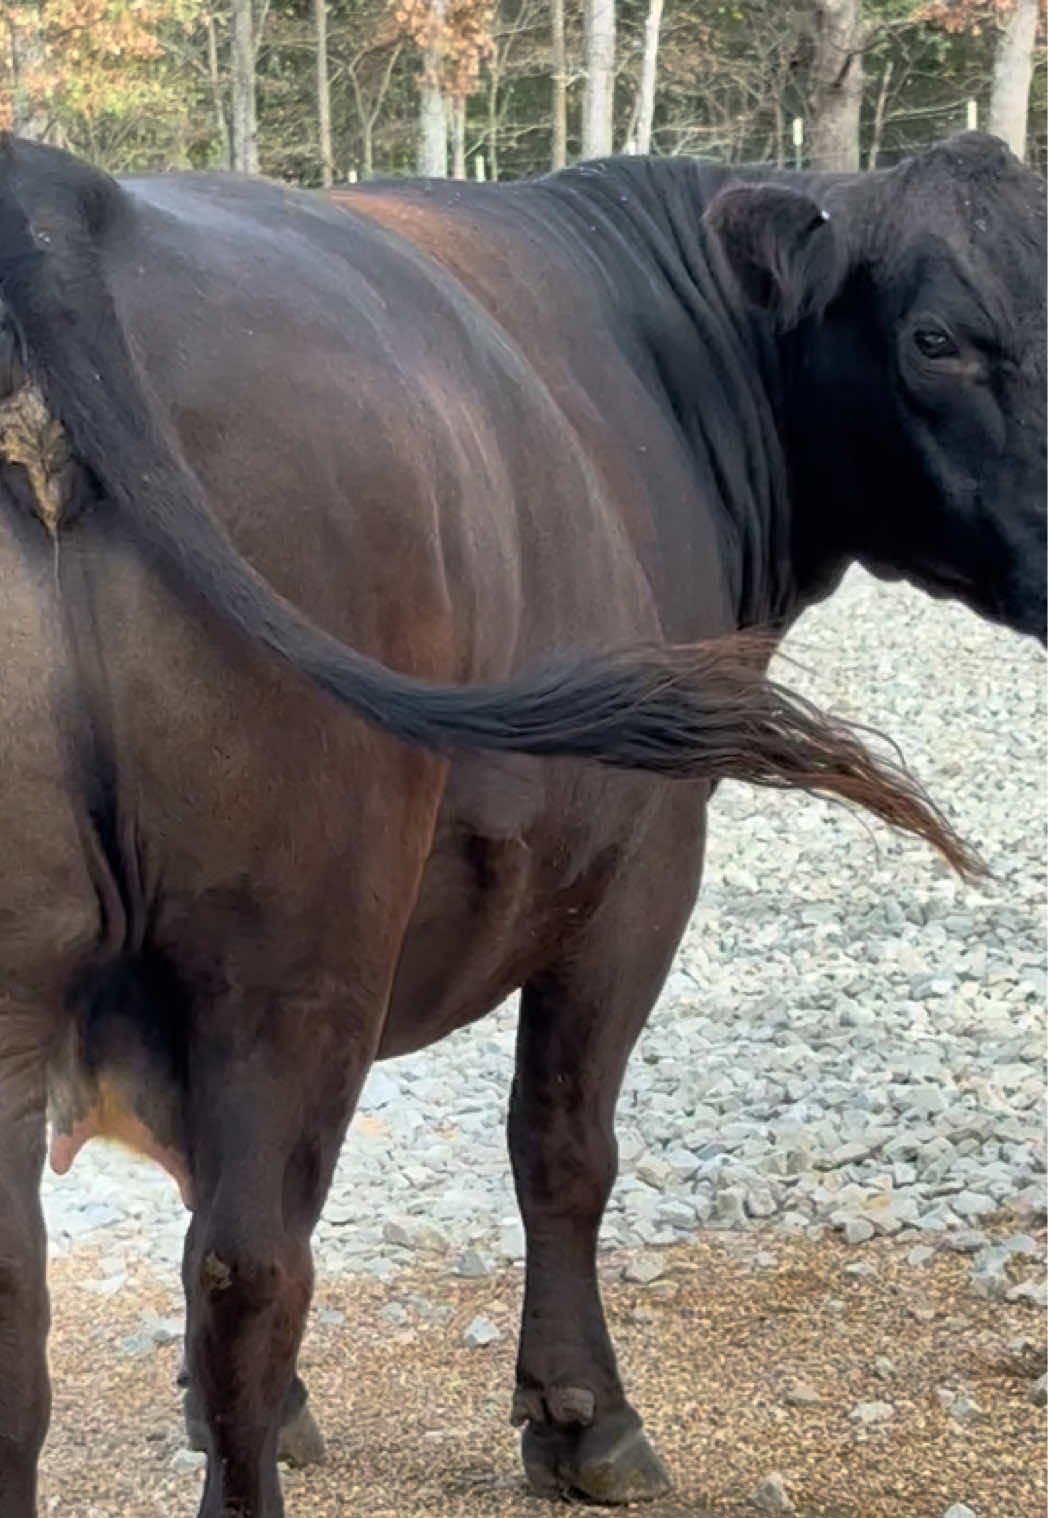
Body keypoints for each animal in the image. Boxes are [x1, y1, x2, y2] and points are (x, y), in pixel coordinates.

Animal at [0, 129, 1042, 1518]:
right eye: (938, 340)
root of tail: (61, 192)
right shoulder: (647, 858)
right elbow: (562, 1143)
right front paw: (582, 1419)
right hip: (294, 948)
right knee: (249, 1268)